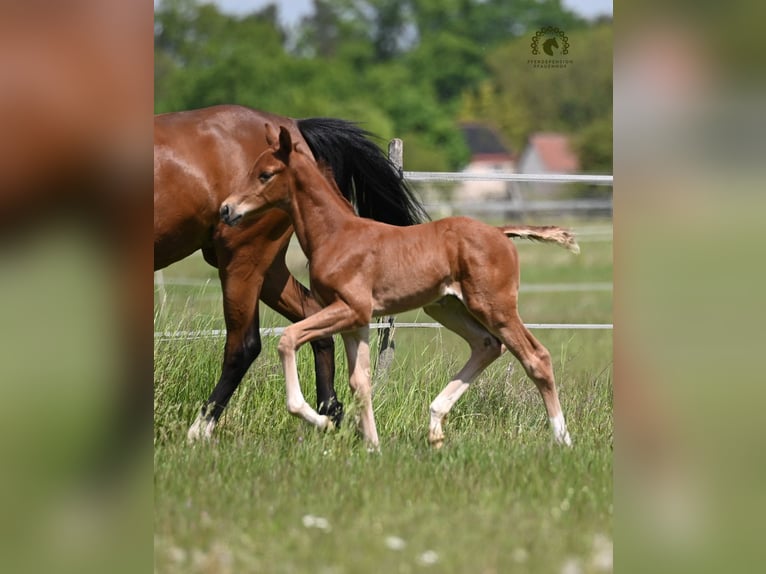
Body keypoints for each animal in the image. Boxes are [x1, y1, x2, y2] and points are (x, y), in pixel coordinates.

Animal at [154, 106, 428, 441]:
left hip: (243, 257)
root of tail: (293, 126)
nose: (227, 209)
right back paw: (329, 417)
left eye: (265, 175)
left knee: (243, 345)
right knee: (313, 322)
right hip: (267, 270)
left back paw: (200, 430)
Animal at [219, 124, 579, 449]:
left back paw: (562, 439)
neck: (336, 236)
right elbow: (360, 381)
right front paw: (372, 445)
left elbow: (289, 339)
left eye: (265, 174)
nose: (226, 208)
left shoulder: (350, 309)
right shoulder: (356, 321)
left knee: (536, 357)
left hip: (494, 306)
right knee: (488, 345)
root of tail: (500, 232)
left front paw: (320, 420)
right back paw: (435, 425)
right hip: (445, 306)